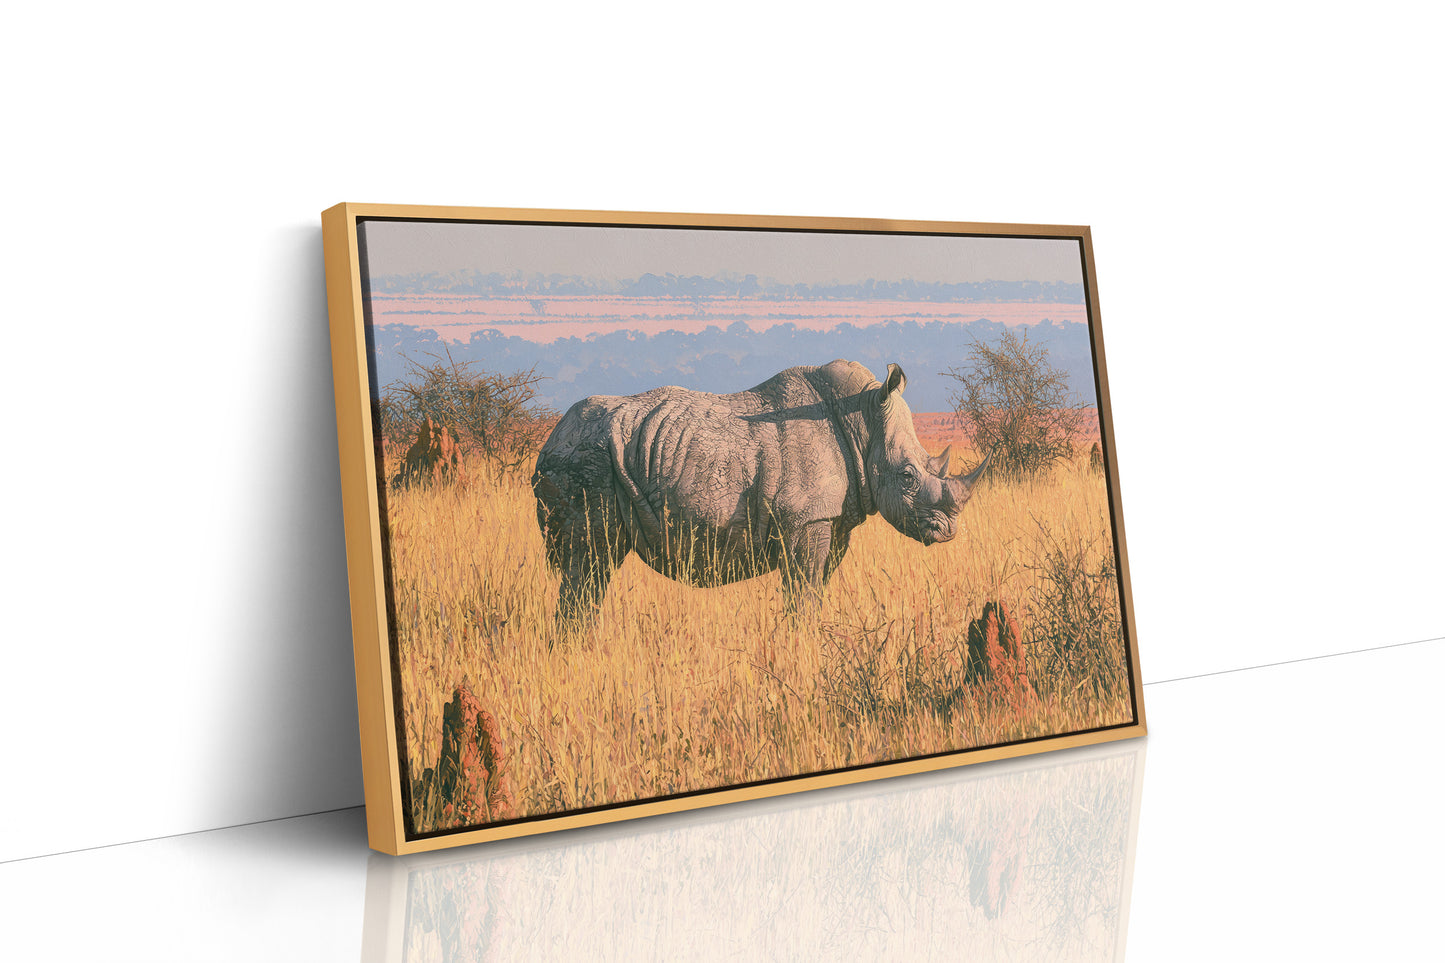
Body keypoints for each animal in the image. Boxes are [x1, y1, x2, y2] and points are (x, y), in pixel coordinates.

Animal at [531, 360, 990, 623]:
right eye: (908, 476)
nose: (947, 531)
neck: (863, 420)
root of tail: (550, 438)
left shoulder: (832, 520)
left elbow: (814, 589)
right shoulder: (806, 518)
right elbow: (802, 593)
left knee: (595, 567)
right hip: (586, 456)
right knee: (591, 559)